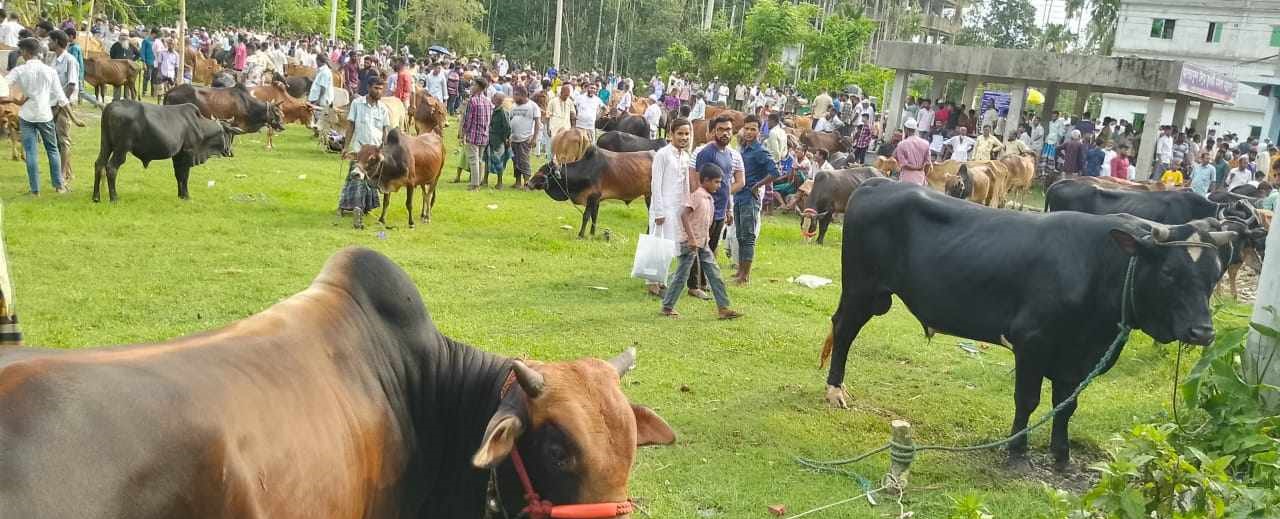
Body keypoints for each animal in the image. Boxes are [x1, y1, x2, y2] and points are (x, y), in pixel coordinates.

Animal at [93, 98, 243, 201]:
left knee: (99, 164)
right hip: (121, 149)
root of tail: (110, 107)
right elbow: (184, 176)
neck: (200, 126)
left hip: (106, 144)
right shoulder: (187, 154)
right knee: (111, 168)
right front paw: (186, 196)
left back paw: (96, 197)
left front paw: (181, 195)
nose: (230, 152)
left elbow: (178, 175)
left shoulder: (178, 156)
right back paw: (114, 198)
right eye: (230, 134)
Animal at [527, 143, 655, 237]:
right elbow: (594, 217)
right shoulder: (597, 200)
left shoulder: (592, 197)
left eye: (543, 171)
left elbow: (586, 216)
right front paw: (592, 234)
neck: (585, 169)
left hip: (651, 196)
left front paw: (581, 235)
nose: (528, 183)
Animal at [824, 179, 1233, 471]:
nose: (1203, 332)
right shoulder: (1032, 341)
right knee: (843, 330)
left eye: (1214, 274)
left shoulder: (1079, 356)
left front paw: (1062, 456)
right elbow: (1028, 399)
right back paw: (835, 391)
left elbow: (1066, 406)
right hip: (862, 290)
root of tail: (876, 182)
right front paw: (1017, 451)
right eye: (1169, 272)